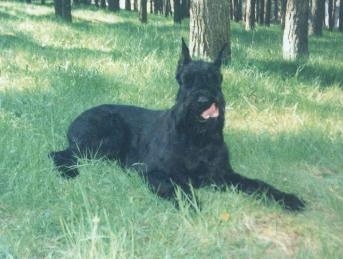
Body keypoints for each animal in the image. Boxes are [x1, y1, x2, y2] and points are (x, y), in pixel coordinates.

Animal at [49, 39, 306, 212]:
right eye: (186, 80)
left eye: (216, 79)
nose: (204, 101)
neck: (197, 139)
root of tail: (77, 118)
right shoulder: (154, 172)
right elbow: (180, 187)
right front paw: (191, 205)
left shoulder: (223, 175)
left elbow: (259, 184)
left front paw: (288, 198)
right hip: (106, 138)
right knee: (59, 153)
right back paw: (69, 172)